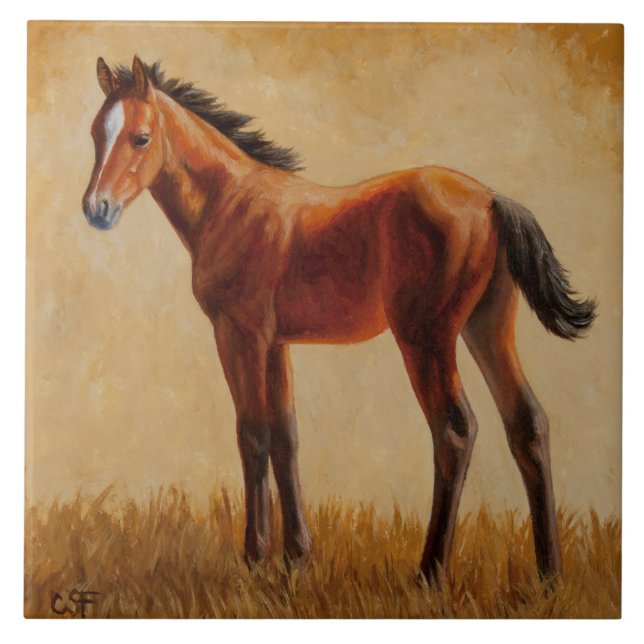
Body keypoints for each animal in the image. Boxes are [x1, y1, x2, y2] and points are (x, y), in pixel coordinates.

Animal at [82, 56, 596, 583]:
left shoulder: (239, 335)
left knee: (454, 429)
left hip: (426, 339)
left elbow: (253, 434)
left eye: (141, 137)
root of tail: (492, 198)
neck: (229, 202)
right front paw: (296, 557)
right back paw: (549, 575)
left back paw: (430, 572)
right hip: (486, 328)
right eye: (97, 133)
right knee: (528, 424)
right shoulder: (276, 344)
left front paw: (255, 557)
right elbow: (286, 437)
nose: (96, 209)